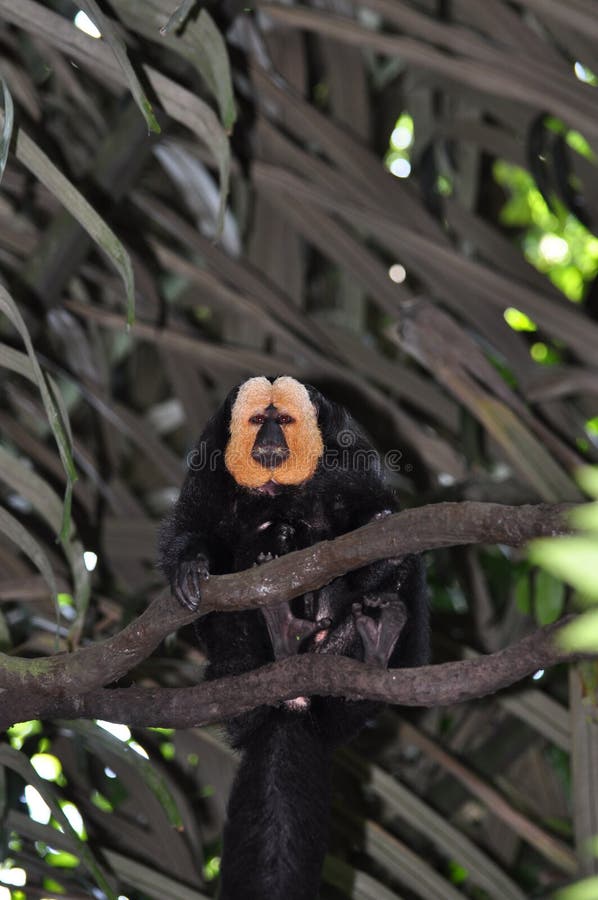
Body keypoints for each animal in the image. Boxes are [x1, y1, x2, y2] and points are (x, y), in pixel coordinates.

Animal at [159, 376, 429, 900]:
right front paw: (191, 565)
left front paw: (380, 546)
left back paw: (375, 646)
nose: (269, 441)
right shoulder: (208, 454)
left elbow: (373, 508)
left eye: (282, 420)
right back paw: (278, 623)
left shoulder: (349, 447)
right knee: (261, 547)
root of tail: (293, 702)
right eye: (257, 420)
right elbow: (194, 526)